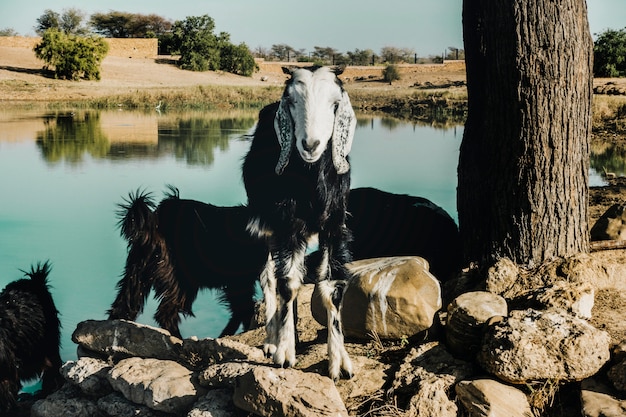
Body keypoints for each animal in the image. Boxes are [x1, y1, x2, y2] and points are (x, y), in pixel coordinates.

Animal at [106, 188, 266, 338]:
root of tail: (155, 219)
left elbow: (241, 311)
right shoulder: (238, 282)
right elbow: (244, 309)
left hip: (137, 272)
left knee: (123, 305)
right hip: (180, 280)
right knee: (165, 313)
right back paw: (178, 339)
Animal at [240, 66, 354, 380]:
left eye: (335, 103)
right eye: (291, 101)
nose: (310, 145)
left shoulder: (334, 225)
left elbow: (331, 288)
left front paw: (339, 363)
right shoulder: (285, 224)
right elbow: (287, 285)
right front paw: (285, 353)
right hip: (265, 227)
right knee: (269, 278)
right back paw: (272, 340)